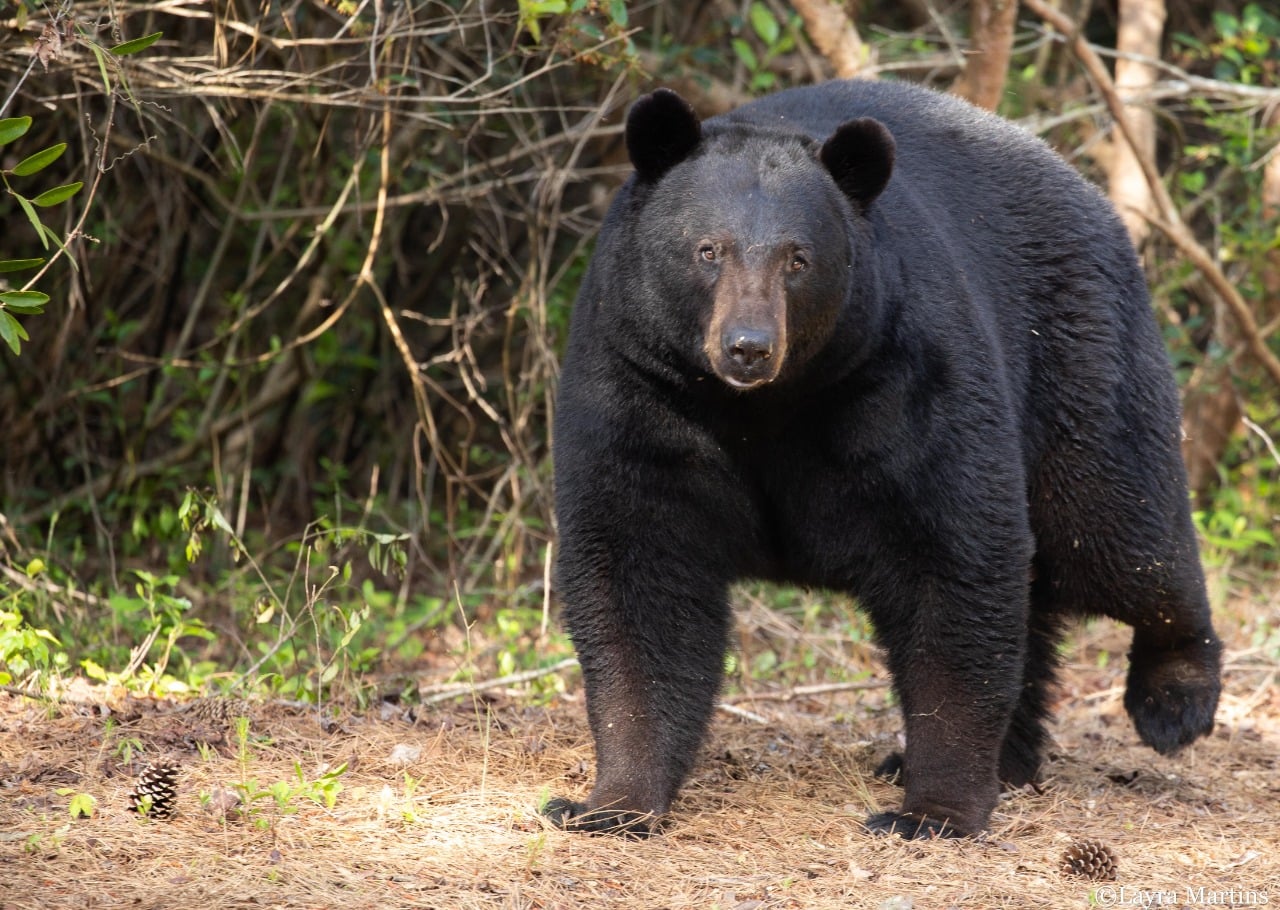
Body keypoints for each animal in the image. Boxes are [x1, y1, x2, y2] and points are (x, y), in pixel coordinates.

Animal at [543, 79, 1222, 839]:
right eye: (707, 250)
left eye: (798, 259)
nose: (748, 347)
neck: (760, 407)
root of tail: (1081, 184)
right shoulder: (638, 380)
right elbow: (637, 568)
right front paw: (610, 804)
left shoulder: (904, 373)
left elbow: (954, 554)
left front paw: (932, 812)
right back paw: (1010, 759)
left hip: (1077, 358)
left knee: (1116, 529)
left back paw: (1175, 700)